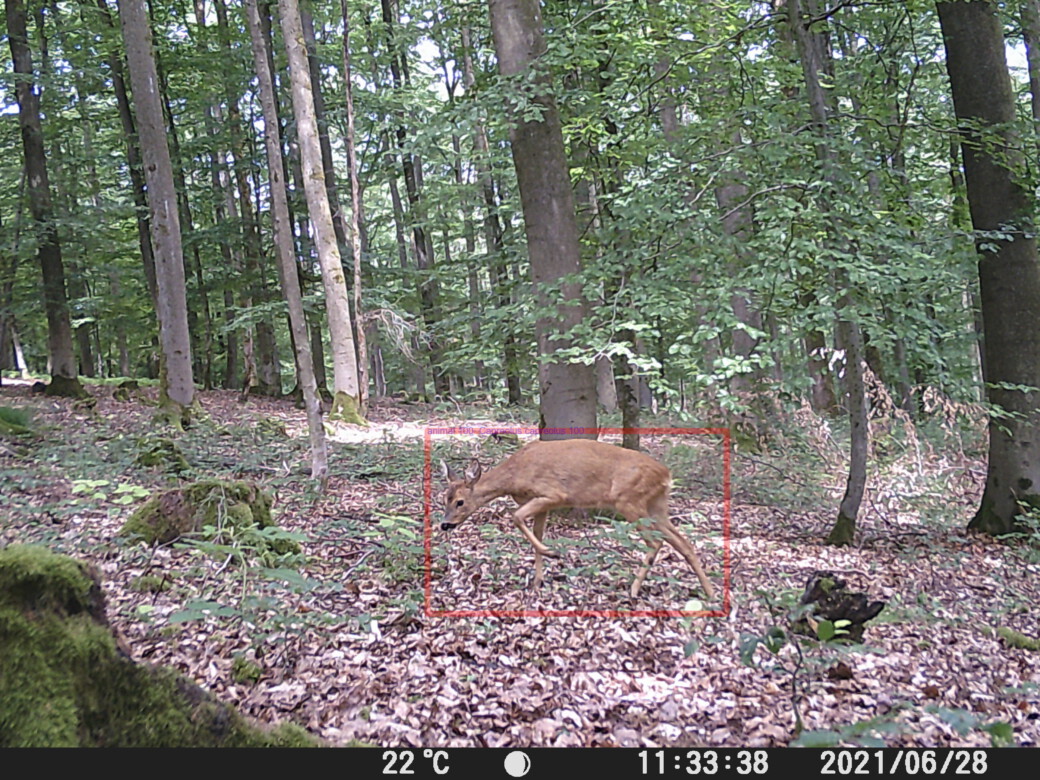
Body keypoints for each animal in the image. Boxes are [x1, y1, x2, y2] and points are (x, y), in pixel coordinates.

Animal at [438, 440, 715, 599]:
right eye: (444, 498)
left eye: (460, 502)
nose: (445, 524)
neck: (515, 476)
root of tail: (666, 475)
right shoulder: (543, 504)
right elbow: (535, 535)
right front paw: (537, 580)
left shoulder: (553, 494)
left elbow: (515, 518)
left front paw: (552, 553)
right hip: (656, 505)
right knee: (683, 542)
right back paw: (711, 594)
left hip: (629, 501)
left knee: (656, 543)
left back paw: (634, 591)